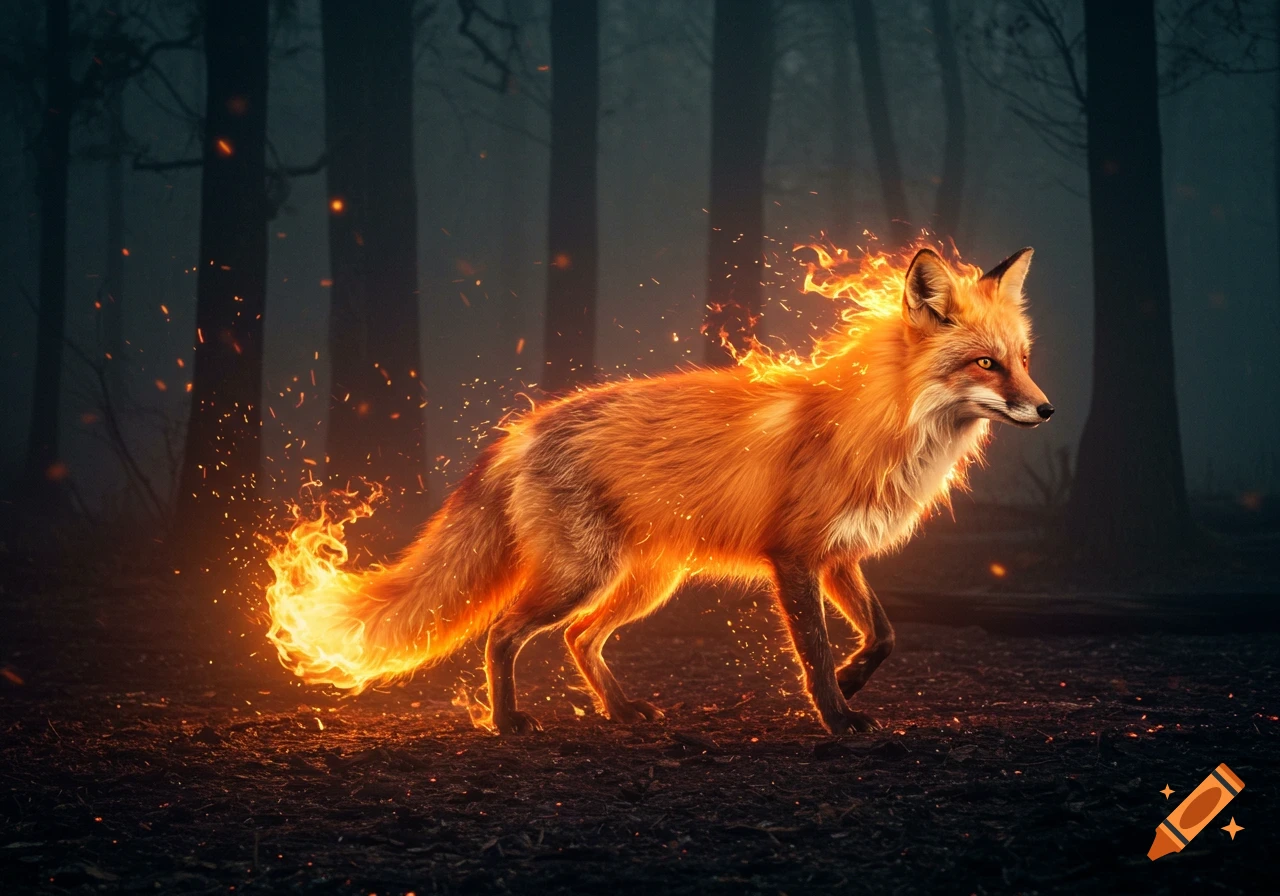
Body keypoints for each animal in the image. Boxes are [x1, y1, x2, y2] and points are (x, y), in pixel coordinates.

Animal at [268, 246, 1053, 736]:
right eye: (985, 365)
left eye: (1021, 359)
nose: (1046, 410)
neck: (879, 423)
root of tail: (525, 426)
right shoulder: (794, 557)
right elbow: (814, 656)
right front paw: (835, 716)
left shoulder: (838, 556)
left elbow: (885, 634)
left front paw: (856, 682)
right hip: (581, 576)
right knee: (502, 633)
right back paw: (506, 722)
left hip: (646, 581)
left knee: (580, 639)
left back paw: (619, 713)